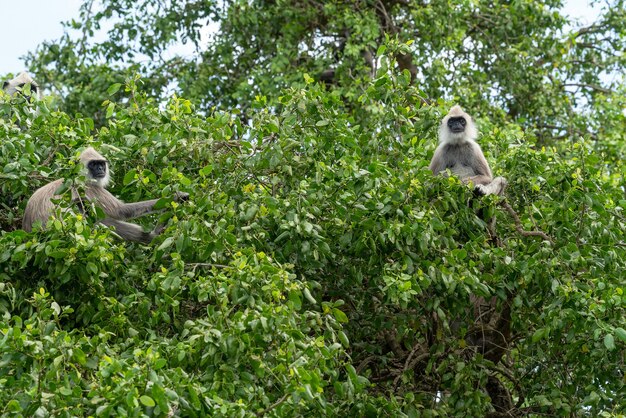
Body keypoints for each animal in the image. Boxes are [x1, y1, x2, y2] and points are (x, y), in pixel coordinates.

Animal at [22, 148, 188, 243]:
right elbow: (120, 211)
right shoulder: (89, 187)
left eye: (101, 163)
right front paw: (176, 197)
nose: (101, 169)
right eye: (93, 164)